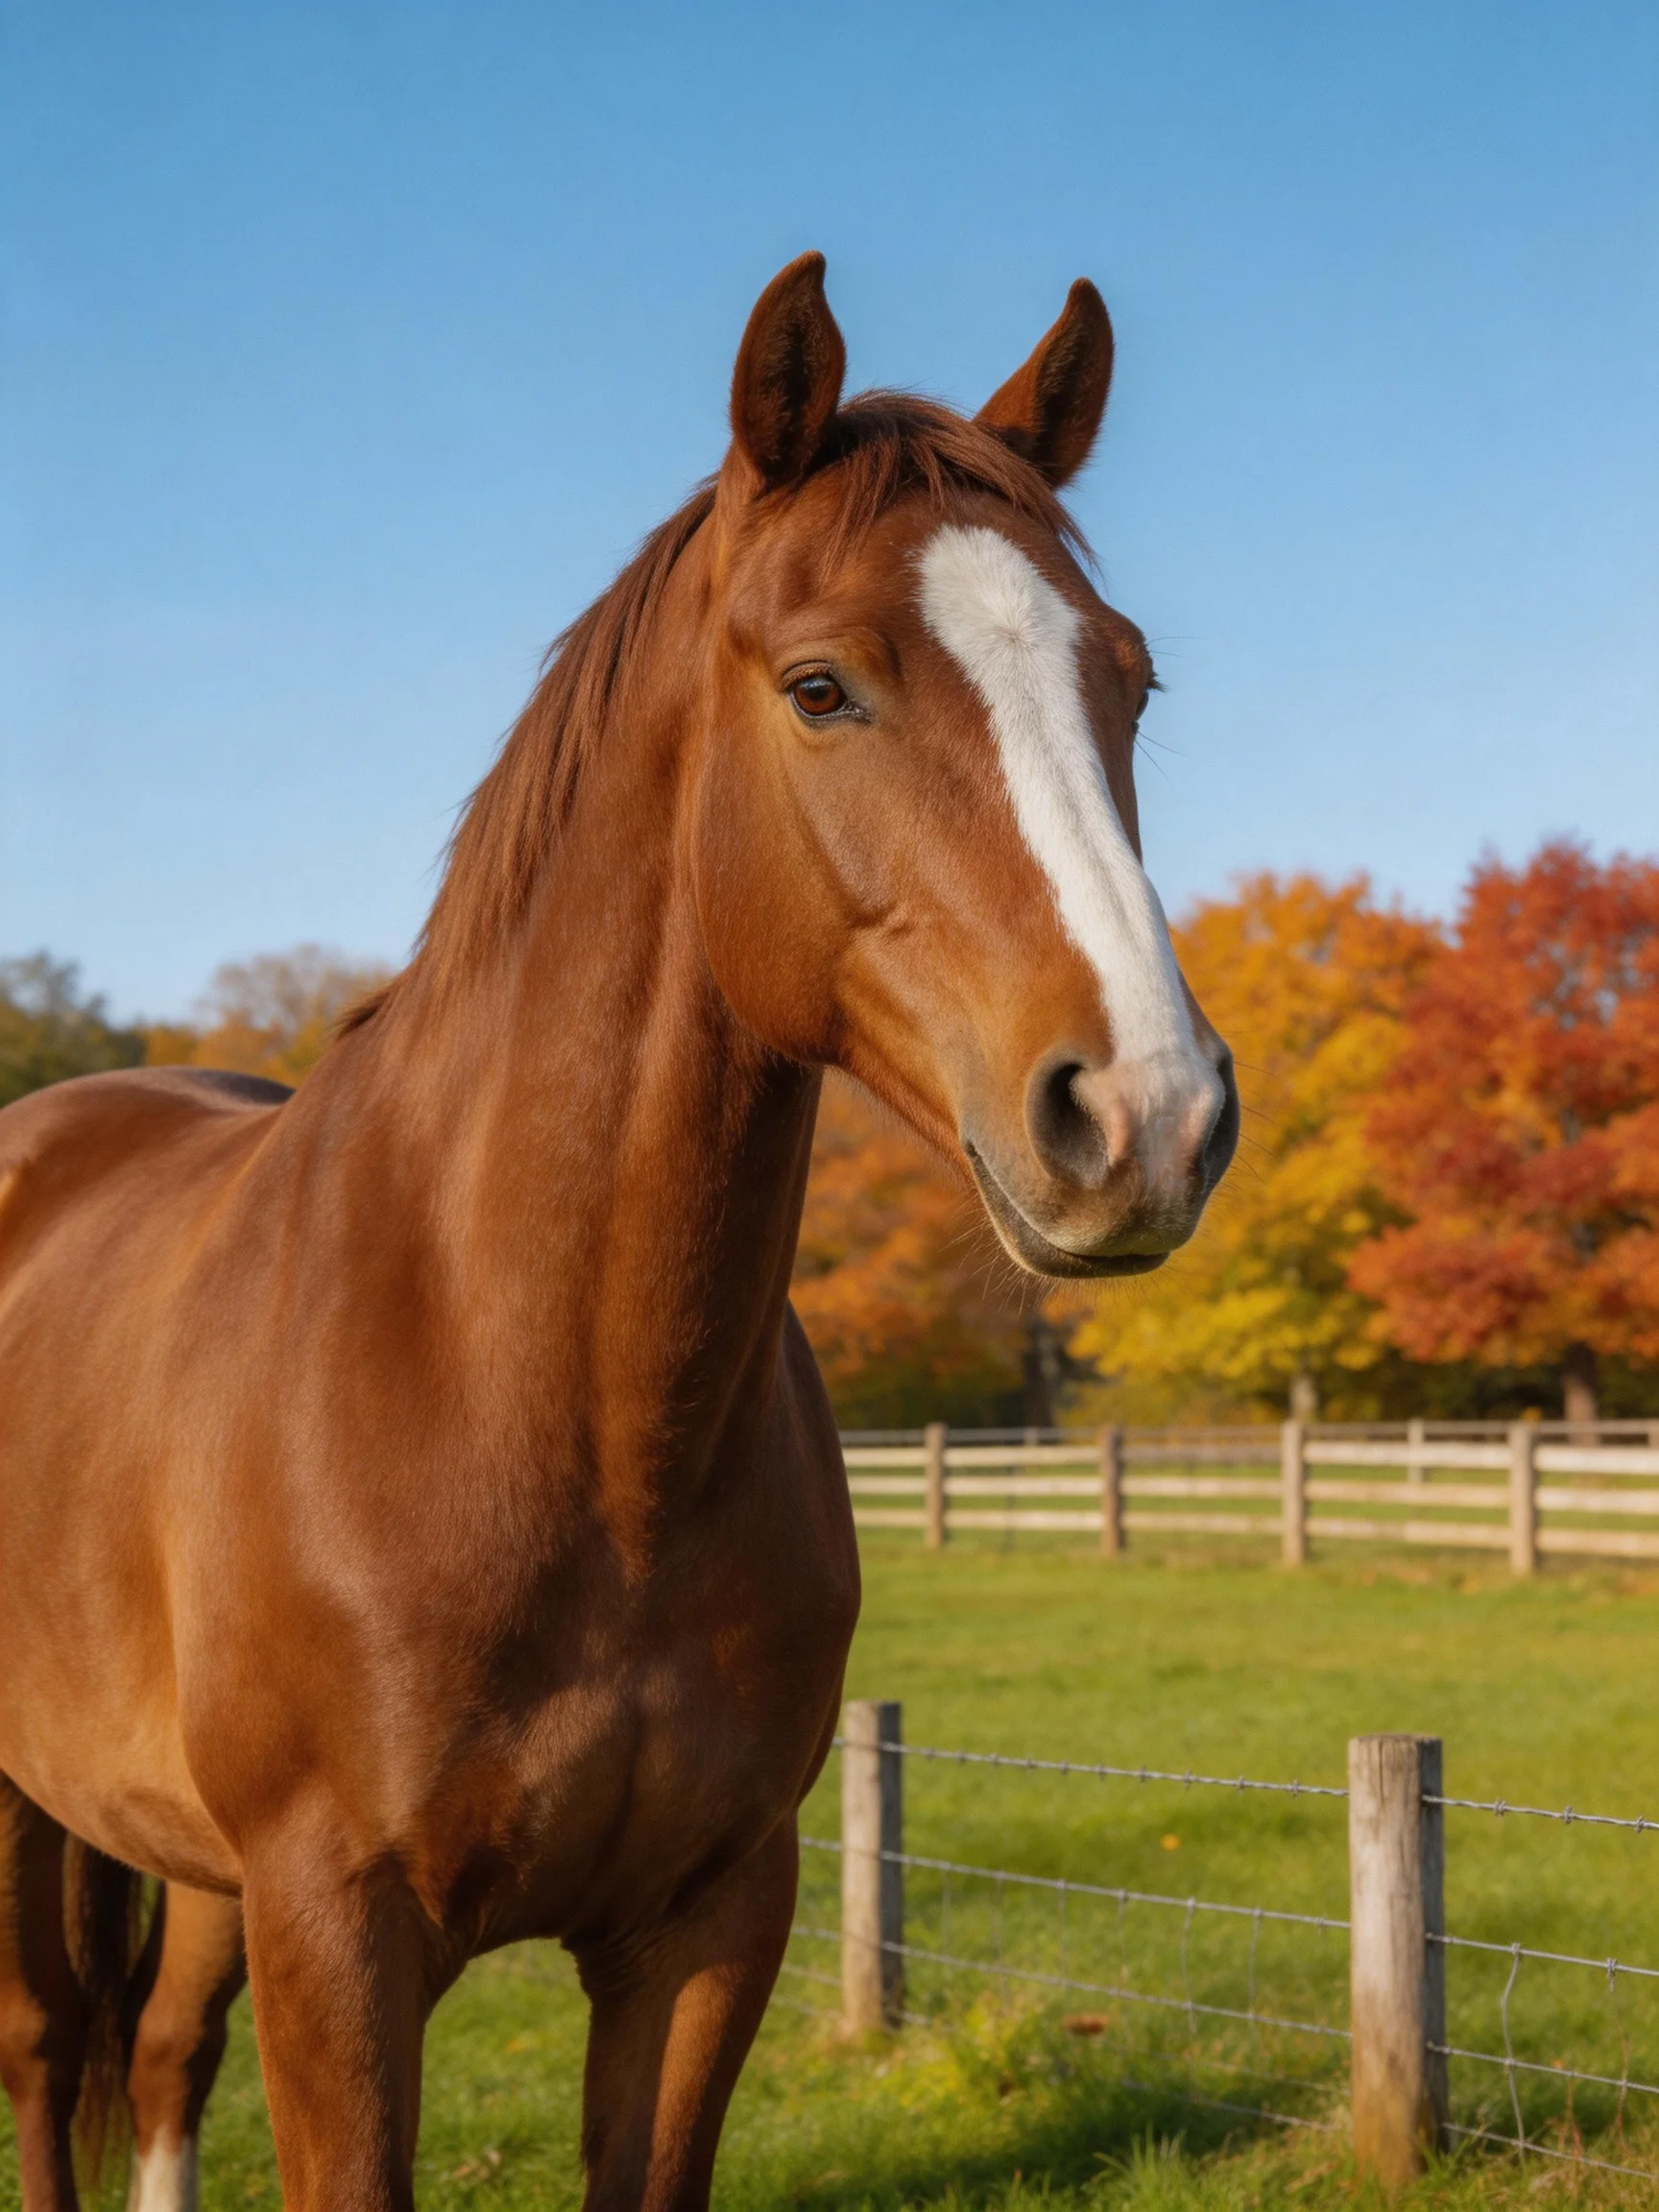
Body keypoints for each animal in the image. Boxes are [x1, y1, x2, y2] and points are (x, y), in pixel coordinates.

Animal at [0, 253, 1238, 2212]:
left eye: (1128, 679)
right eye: (820, 686)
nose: (1148, 1118)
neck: (540, 1392)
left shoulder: (705, 1926)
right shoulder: (336, 1934)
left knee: (157, 2050)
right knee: (51, 2050)